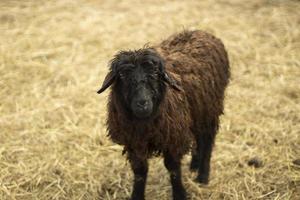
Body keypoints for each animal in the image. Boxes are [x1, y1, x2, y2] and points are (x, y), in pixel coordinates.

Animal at [97, 30, 231, 200]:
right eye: (122, 75)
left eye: (155, 73)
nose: (142, 103)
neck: (145, 125)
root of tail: (202, 32)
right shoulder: (134, 142)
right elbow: (140, 171)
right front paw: (137, 195)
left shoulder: (173, 139)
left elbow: (173, 169)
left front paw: (180, 194)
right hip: (196, 113)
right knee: (198, 137)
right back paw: (194, 164)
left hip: (210, 110)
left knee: (207, 140)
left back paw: (202, 176)